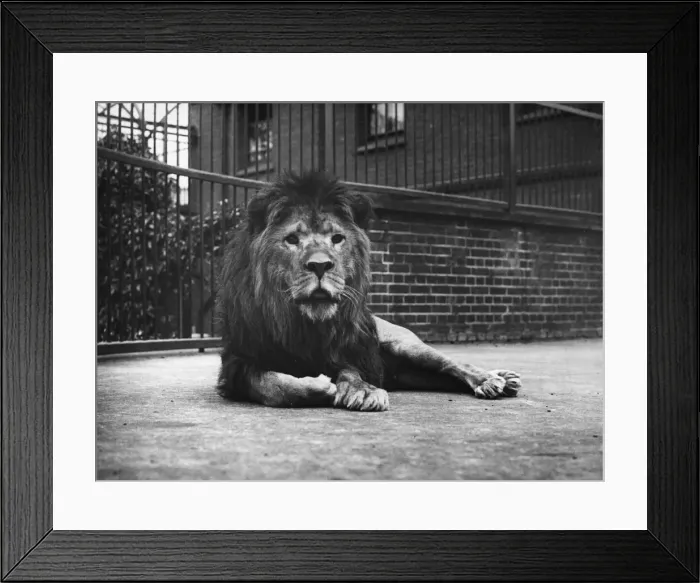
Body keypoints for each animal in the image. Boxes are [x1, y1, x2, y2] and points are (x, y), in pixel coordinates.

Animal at [215, 170, 522, 412]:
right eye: (291, 239)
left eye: (337, 239)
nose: (320, 265)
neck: (307, 324)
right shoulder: (239, 362)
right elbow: (274, 384)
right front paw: (320, 386)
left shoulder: (350, 351)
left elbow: (351, 372)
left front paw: (362, 390)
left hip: (405, 345)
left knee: (452, 363)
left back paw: (491, 379)